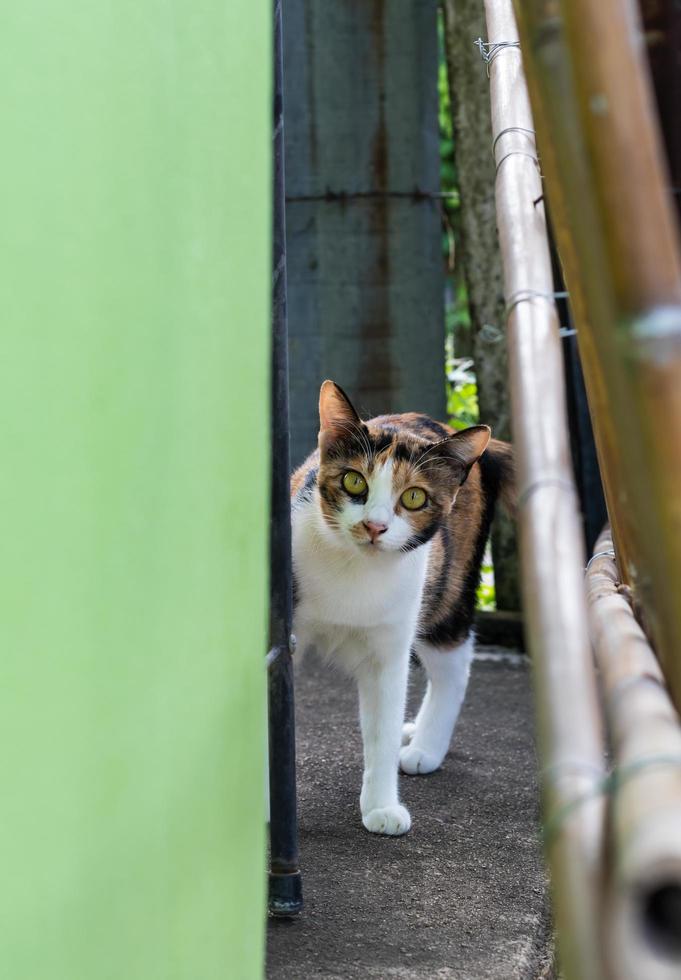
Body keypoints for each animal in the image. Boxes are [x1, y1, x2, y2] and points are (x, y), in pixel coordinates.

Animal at [290, 380, 512, 836]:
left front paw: (380, 807)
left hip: (445, 587)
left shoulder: (388, 651)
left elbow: (382, 728)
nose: (374, 526)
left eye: (413, 497)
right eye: (354, 480)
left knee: (454, 663)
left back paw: (425, 746)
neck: (354, 568)